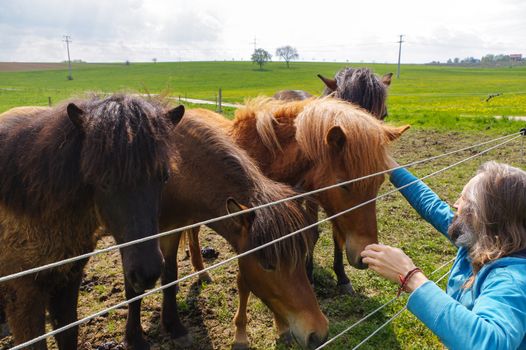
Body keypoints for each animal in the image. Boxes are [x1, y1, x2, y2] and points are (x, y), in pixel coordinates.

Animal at [0, 94, 184, 348]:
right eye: (104, 181)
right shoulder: (24, 297)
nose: (146, 272)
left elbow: (68, 334)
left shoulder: (67, 280)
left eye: (164, 177)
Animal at [125, 109, 330, 350]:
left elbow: (170, 273)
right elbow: (135, 284)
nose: (318, 333)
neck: (180, 171)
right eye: (267, 264)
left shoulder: (174, 229)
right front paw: (136, 337)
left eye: (302, 256)